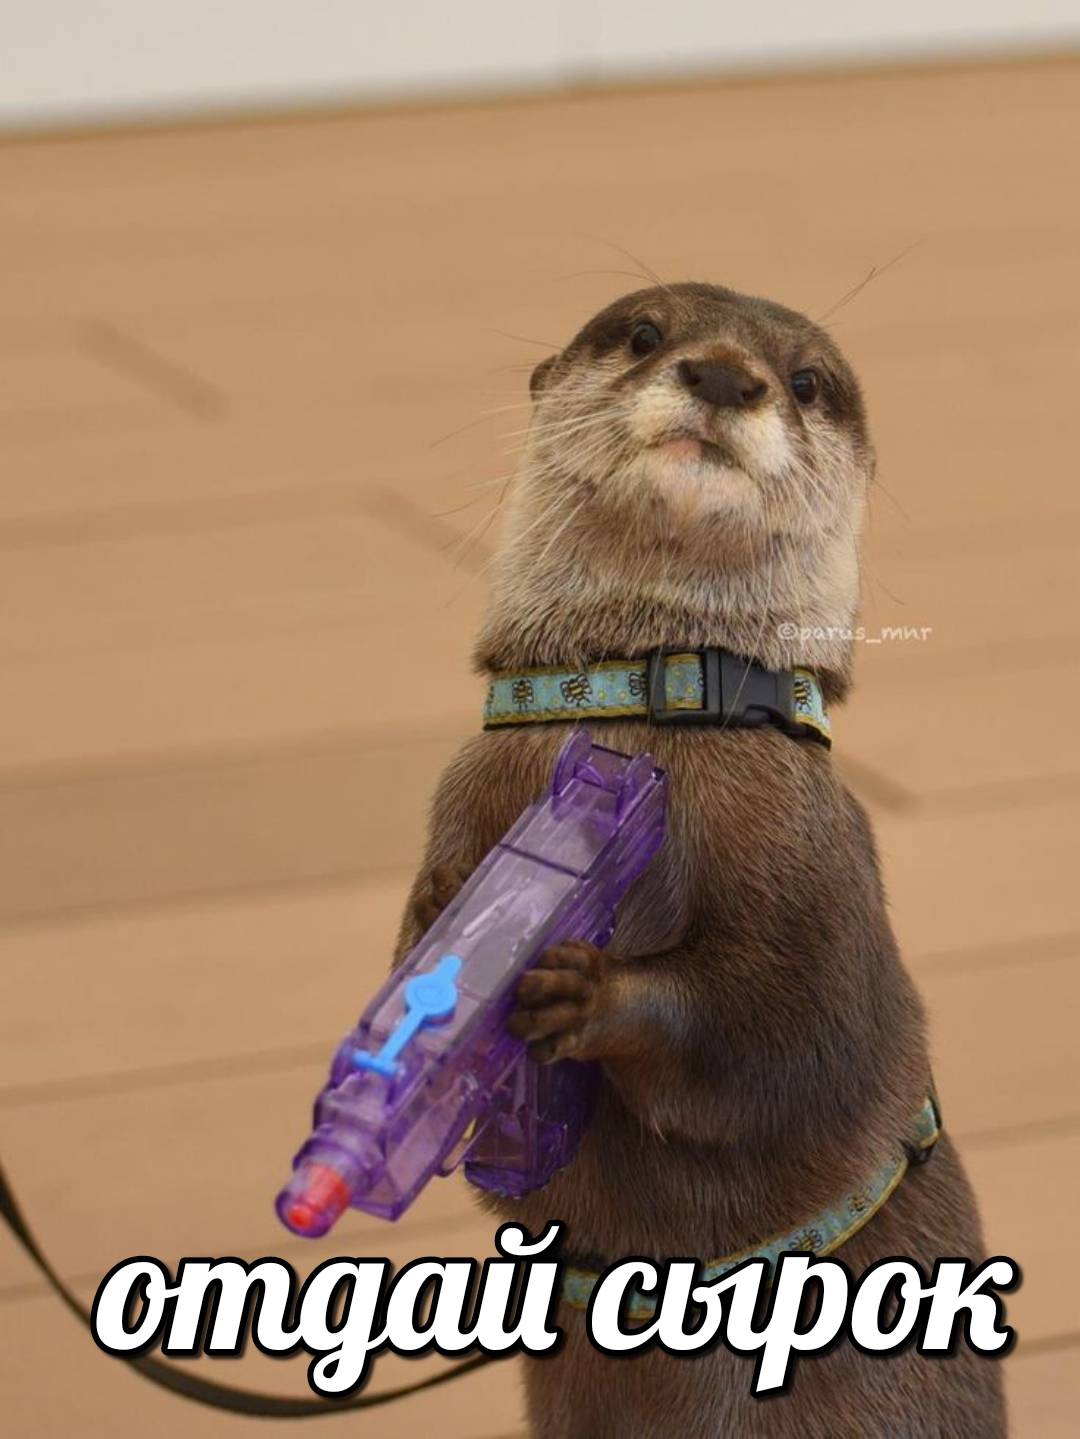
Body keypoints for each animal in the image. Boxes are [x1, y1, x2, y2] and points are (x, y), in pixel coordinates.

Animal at [395, 283, 1005, 1437]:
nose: (724, 373)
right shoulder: (456, 806)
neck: (644, 703)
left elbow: (783, 1038)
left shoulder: (822, 870)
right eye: (643, 333)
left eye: (807, 380)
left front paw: (588, 991)